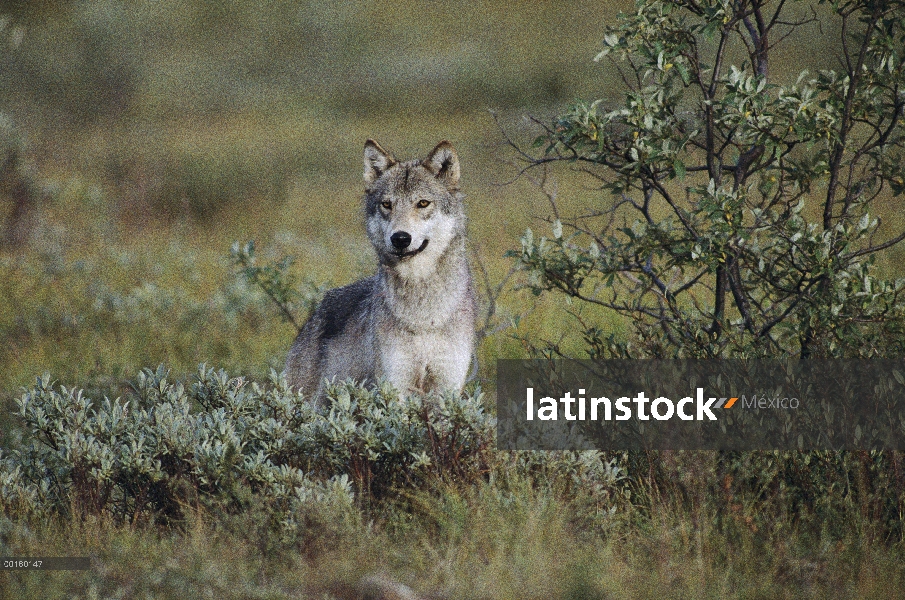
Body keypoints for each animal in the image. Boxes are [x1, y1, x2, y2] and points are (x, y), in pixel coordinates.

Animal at [286, 141, 476, 404]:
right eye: (387, 204)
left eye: (423, 203)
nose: (400, 238)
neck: (423, 316)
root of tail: (316, 312)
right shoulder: (394, 386)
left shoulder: (447, 389)